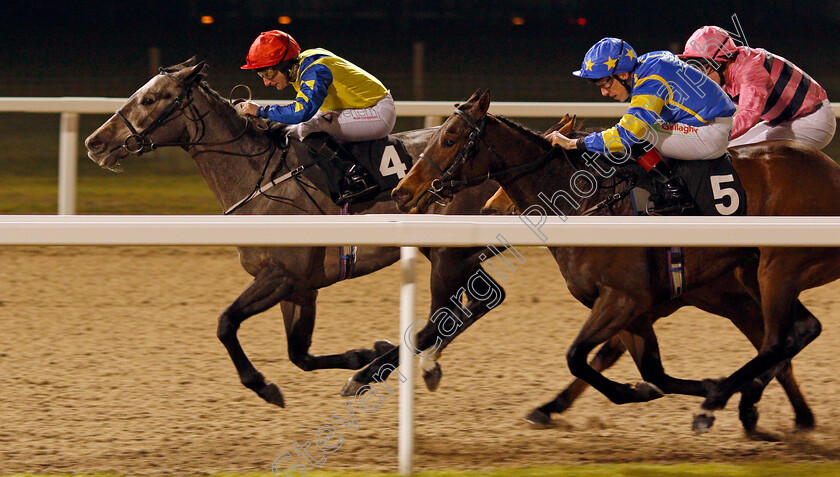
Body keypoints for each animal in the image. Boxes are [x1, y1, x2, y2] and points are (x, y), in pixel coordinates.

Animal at [85, 59, 508, 408]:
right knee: (475, 303)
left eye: (150, 98)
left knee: (455, 309)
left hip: (448, 253)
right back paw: (416, 365)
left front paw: (263, 385)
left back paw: (374, 374)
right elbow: (299, 354)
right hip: (445, 251)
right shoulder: (301, 286)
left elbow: (226, 323)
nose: (94, 143)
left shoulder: (282, 275)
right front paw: (365, 351)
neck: (257, 176)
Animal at [394, 89, 840, 432]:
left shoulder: (624, 299)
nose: (402, 191)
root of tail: (830, 170)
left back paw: (731, 403)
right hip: (753, 278)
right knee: (795, 333)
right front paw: (658, 389)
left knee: (778, 339)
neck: (587, 204)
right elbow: (650, 372)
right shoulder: (635, 309)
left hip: (776, 270)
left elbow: (578, 357)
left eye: (450, 138)